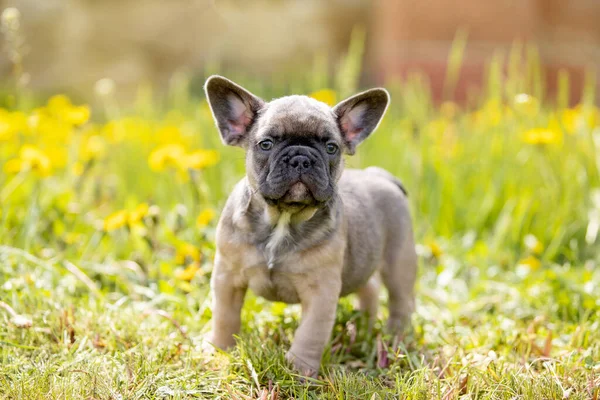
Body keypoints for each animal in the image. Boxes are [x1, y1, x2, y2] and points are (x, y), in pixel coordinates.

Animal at [204, 76, 414, 378]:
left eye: (331, 147)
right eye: (266, 144)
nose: (301, 158)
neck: (283, 218)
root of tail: (380, 176)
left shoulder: (321, 292)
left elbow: (310, 335)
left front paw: (299, 371)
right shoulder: (227, 278)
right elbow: (225, 317)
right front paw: (220, 350)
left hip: (399, 264)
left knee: (400, 302)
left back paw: (394, 339)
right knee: (370, 288)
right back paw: (361, 329)